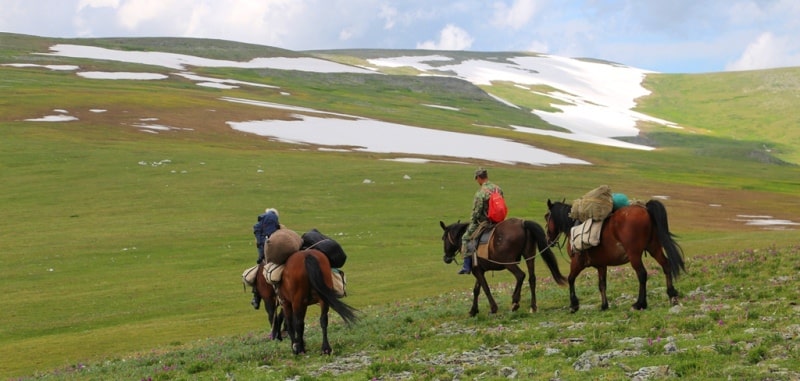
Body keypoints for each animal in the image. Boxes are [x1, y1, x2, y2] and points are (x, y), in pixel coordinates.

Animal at [438, 217, 568, 314]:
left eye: (443, 238)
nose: (446, 258)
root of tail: (523, 223)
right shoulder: (479, 270)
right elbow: (476, 290)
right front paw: (473, 310)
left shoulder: (477, 271)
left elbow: (485, 288)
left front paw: (493, 308)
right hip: (529, 257)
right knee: (532, 278)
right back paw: (533, 306)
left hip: (509, 263)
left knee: (520, 275)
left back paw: (515, 302)